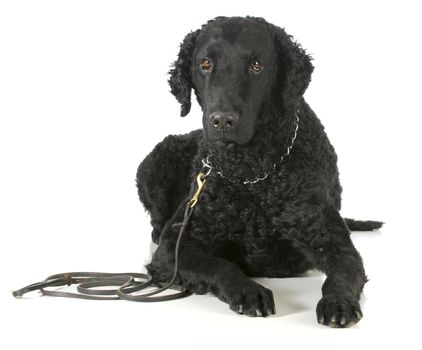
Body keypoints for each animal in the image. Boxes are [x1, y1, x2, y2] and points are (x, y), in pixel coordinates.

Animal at [136, 15, 382, 328]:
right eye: (205, 63)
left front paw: (338, 302)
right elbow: (219, 265)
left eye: (256, 65)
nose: (222, 120)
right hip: (154, 161)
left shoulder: (332, 241)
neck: (250, 174)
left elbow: (341, 273)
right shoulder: (174, 249)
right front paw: (248, 291)